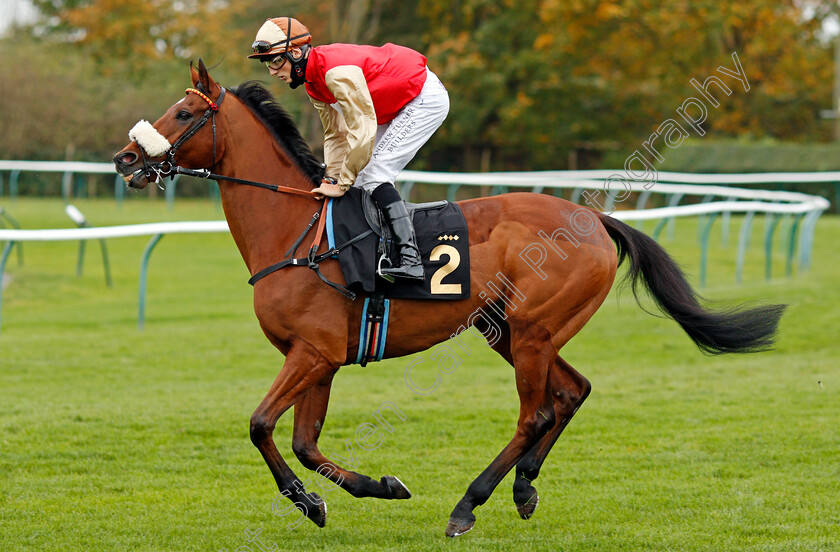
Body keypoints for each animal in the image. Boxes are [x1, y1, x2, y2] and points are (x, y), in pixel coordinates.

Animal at [115, 61, 784, 540]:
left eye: (182, 112)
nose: (125, 158)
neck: (297, 234)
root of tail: (595, 220)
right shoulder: (320, 359)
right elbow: (305, 444)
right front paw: (365, 490)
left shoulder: (312, 353)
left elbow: (260, 426)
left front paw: (312, 501)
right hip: (509, 329)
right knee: (572, 392)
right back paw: (524, 487)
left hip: (532, 329)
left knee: (536, 412)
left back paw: (470, 503)